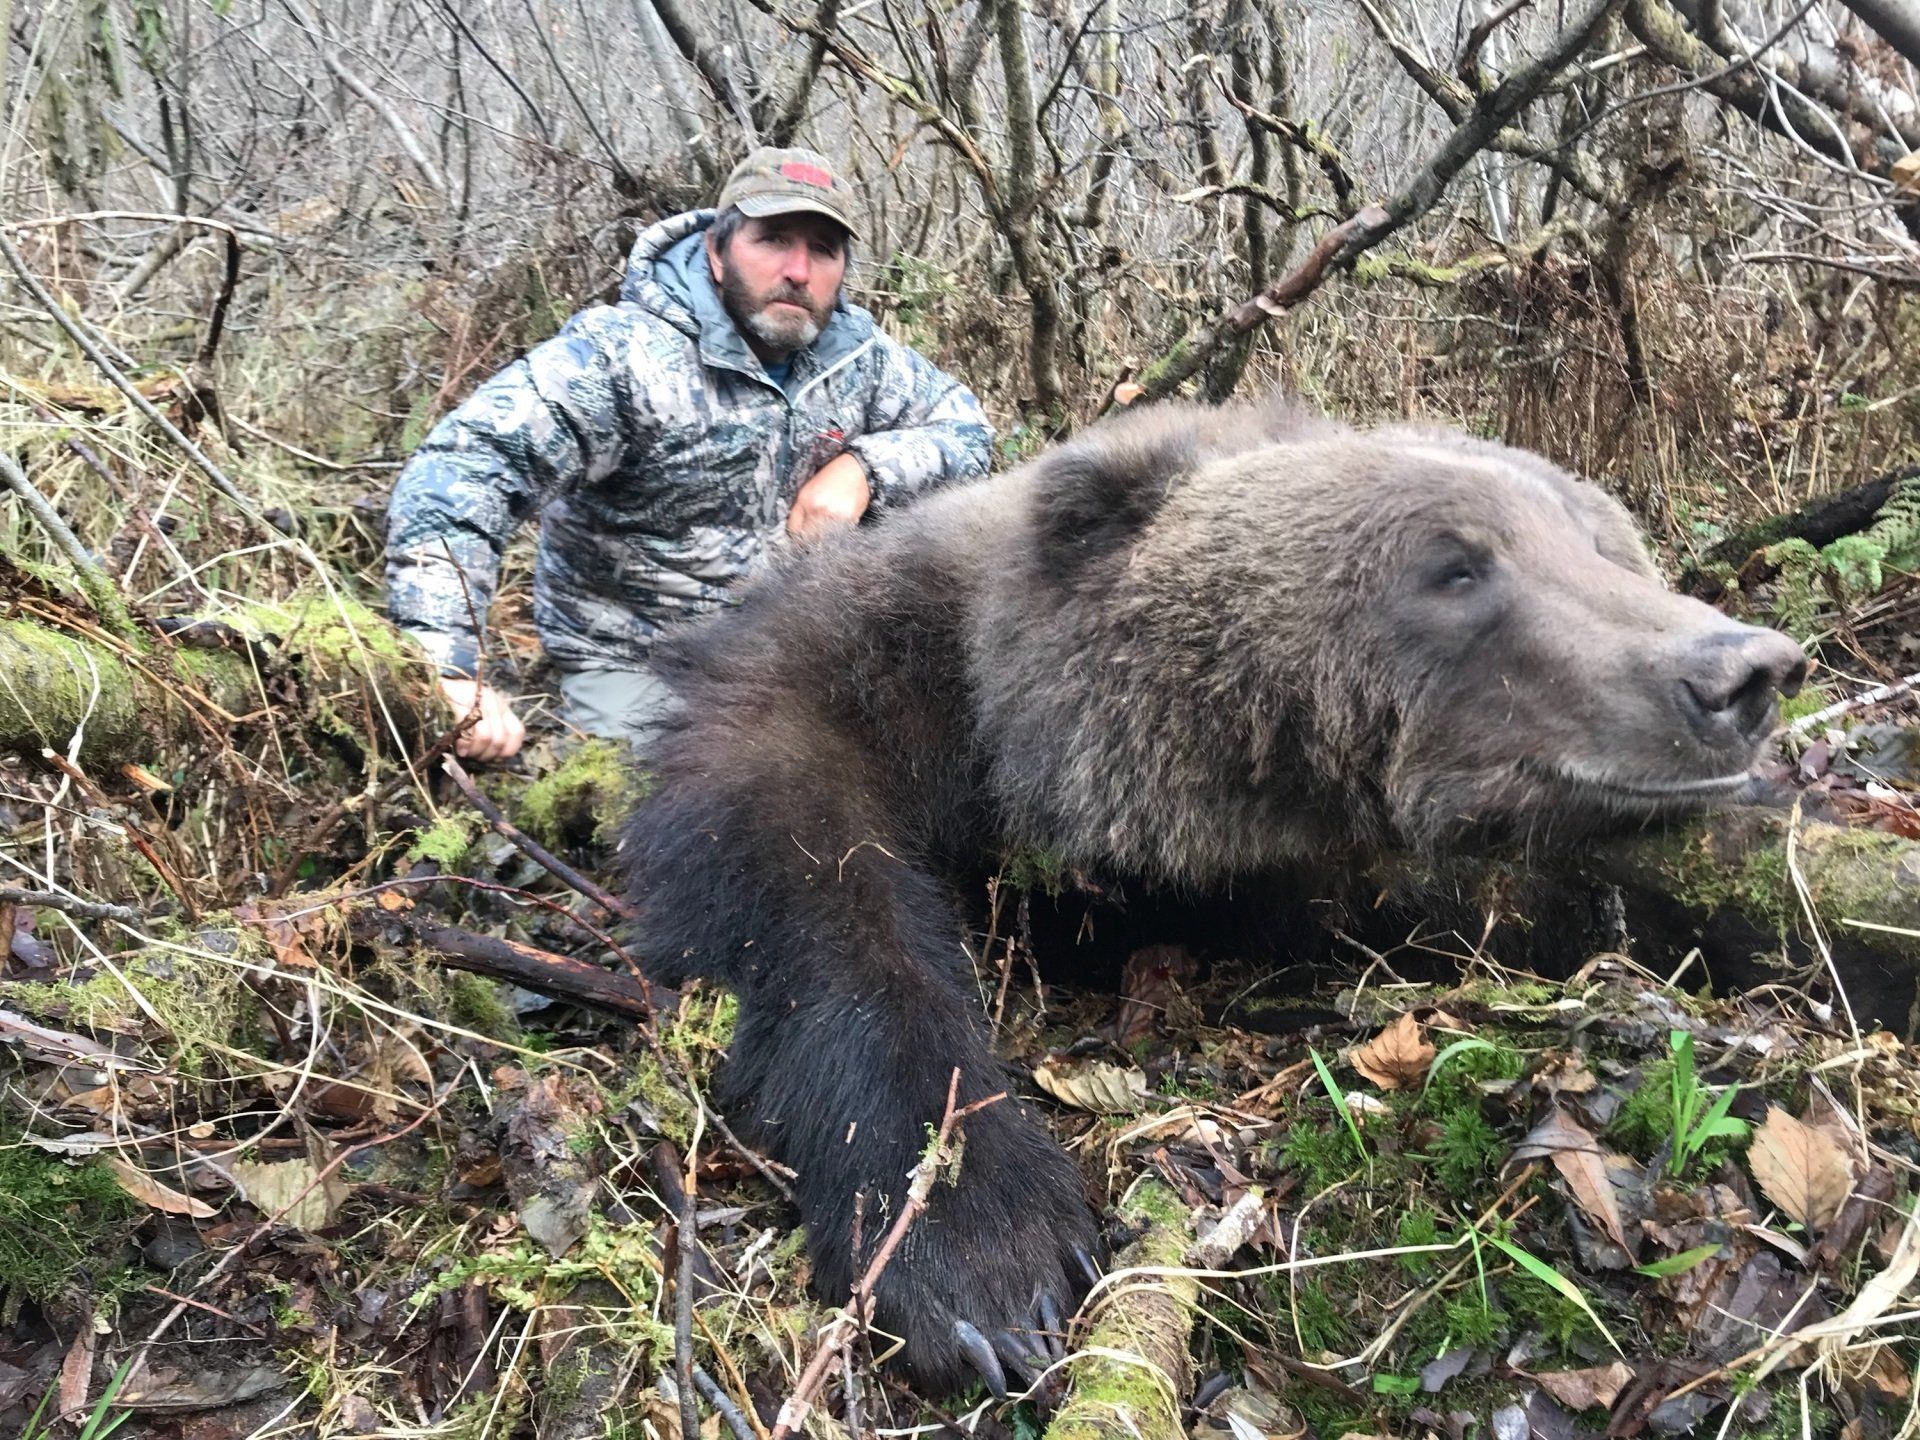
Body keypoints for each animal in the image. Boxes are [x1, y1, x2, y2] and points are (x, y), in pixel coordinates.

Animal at [619, 396, 1807, 1394]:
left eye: (1604, 543)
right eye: (1455, 566)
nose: (1744, 672)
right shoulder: (836, 685)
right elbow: (815, 888)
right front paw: (982, 1257)